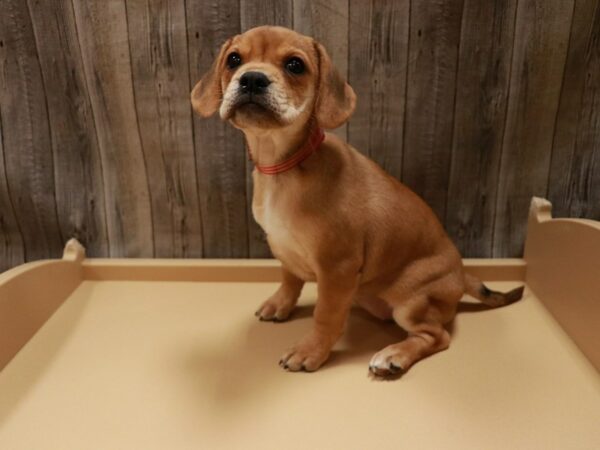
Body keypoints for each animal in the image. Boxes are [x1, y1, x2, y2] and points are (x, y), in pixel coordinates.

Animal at [191, 25, 520, 376]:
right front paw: (280, 304)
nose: (252, 78)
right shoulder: (284, 248)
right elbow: (290, 280)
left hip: (413, 302)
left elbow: (325, 316)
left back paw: (394, 356)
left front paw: (310, 351)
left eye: (295, 65)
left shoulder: (337, 268)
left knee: (437, 336)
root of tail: (461, 275)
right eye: (234, 59)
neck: (284, 165)